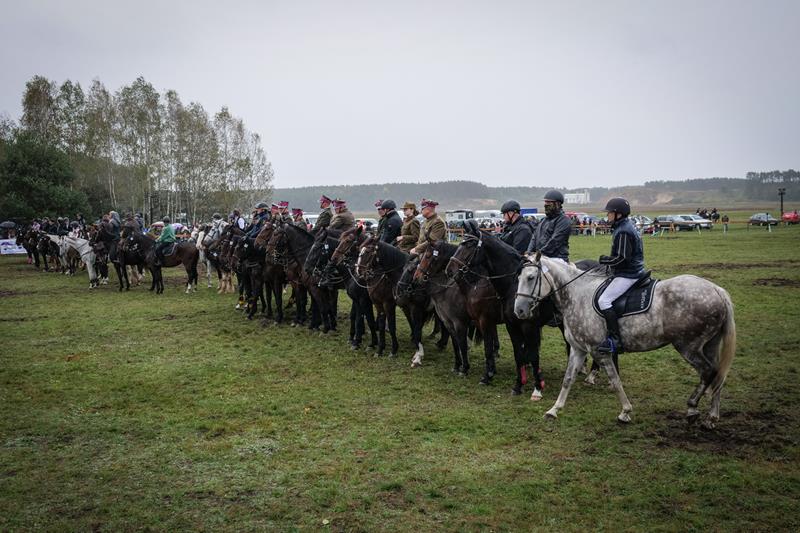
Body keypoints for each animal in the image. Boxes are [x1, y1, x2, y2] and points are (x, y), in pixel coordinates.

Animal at [514, 254, 736, 428]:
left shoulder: (599, 351)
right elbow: (568, 379)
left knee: (708, 372)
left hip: (688, 346)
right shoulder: (578, 349)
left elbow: (615, 379)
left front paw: (625, 412)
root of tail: (717, 290)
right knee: (717, 375)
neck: (576, 295)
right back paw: (711, 417)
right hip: (709, 345)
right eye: (518, 278)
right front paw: (554, 410)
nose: (519, 311)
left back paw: (692, 409)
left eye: (531, 278)